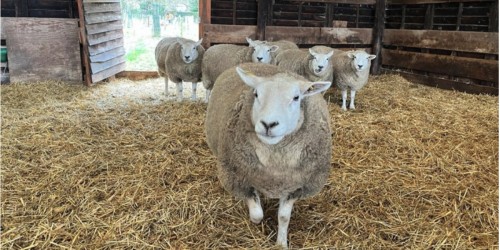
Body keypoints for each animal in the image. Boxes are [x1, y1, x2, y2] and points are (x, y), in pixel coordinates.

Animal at [205, 63, 334, 248]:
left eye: (296, 97)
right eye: (256, 94)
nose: (268, 124)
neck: (276, 166)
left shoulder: (296, 187)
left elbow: (284, 217)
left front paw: (281, 243)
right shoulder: (238, 178)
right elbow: (257, 214)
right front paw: (257, 221)